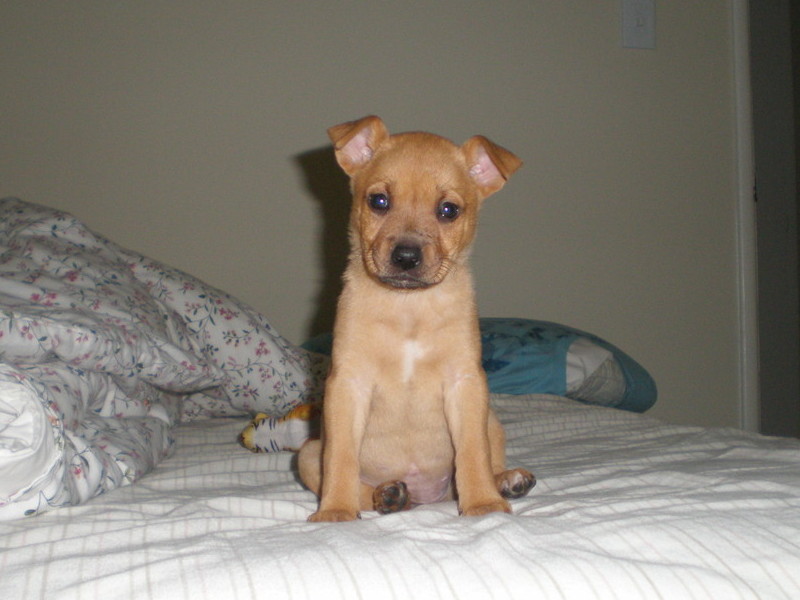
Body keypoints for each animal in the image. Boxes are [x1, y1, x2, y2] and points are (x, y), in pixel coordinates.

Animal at [296, 117, 536, 520]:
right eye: (378, 201)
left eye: (449, 210)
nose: (406, 257)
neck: (409, 308)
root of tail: (427, 497)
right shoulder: (348, 384)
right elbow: (341, 459)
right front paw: (335, 511)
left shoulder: (465, 383)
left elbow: (473, 453)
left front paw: (483, 503)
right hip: (307, 453)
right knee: (357, 483)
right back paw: (389, 495)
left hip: (492, 421)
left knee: (488, 460)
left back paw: (506, 481)